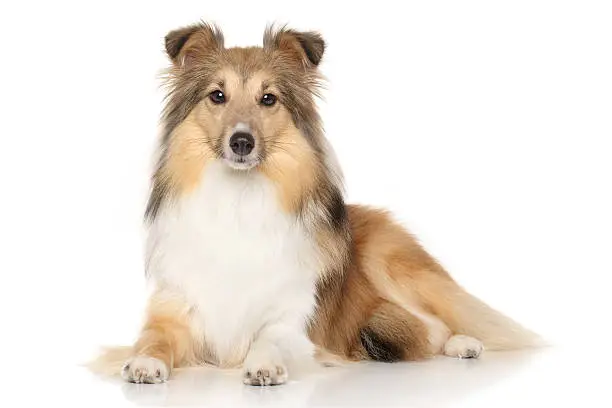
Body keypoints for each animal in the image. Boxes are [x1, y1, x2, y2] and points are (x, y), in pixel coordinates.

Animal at [88, 22, 536, 386]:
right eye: (217, 95)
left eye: (268, 99)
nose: (241, 142)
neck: (238, 200)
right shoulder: (175, 307)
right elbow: (152, 339)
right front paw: (144, 362)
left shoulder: (296, 319)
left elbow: (269, 337)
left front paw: (263, 364)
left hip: (392, 265)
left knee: (438, 323)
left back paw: (465, 343)